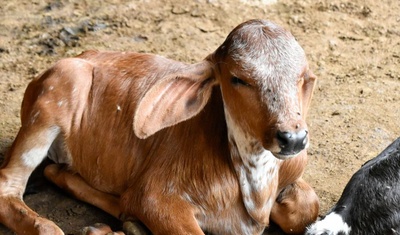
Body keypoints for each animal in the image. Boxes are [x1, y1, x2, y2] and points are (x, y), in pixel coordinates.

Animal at [0, 19, 318, 235]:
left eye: (304, 78)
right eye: (238, 79)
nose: (292, 138)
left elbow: (307, 207)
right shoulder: (157, 197)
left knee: (57, 173)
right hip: (55, 95)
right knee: (10, 186)